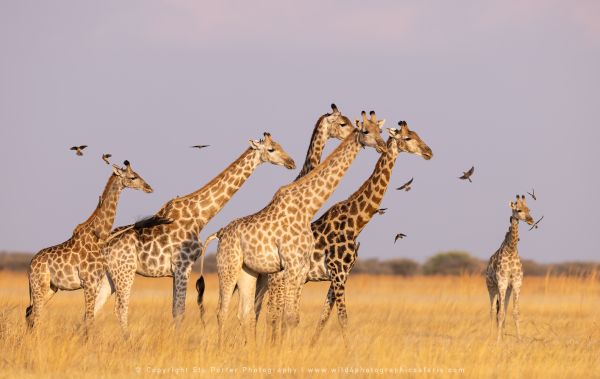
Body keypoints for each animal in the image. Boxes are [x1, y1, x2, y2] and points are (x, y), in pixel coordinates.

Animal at [26, 161, 154, 330]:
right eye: (133, 177)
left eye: (138, 174)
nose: (149, 188)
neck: (97, 238)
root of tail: (30, 265)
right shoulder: (88, 283)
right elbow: (89, 319)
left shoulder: (96, 283)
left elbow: (89, 318)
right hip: (39, 286)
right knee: (36, 315)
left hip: (51, 288)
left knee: (30, 313)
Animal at [101, 134, 298, 332]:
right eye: (271, 149)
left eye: (280, 145)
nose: (291, 162)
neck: (200, 216)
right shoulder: (182, 266)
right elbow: (179, 311)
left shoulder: (178, 271)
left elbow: (176, 310)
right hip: (124, 272)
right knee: (120, 309)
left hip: (107, 276)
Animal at [197, 110, 384, 348]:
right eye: (365, 131)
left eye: (380, 130)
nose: (383, 145)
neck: (308, 207)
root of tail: (220, 233)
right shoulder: (291, 269)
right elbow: (283, 316)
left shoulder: (301, 269)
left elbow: (293, 317)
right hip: (228, 268)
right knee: (223, 312)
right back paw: (223, 348)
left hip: (248, 273)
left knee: (246, 313)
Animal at [256, 121, 432, 344]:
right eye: (408, 138)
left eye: (417, 134)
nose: (429, 152)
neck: (355, 223)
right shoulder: (339, 274)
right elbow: (342, 319)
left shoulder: (341, 275)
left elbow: (323, 318)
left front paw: (311, 346)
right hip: (278, 281)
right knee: (272, 314)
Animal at [488, 194, 536, 342]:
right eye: (518, 210)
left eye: (529, 209)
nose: (531, 220)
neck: (511, 250)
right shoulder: (502, 282)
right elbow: (500, 313)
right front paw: (498, 340)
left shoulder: (516, 282)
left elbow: (515, 312)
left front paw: (519, 339)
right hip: (492, 287)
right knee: (493, 310)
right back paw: (492, 335)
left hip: (507, 289)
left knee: (502, 308)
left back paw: (502, 335)